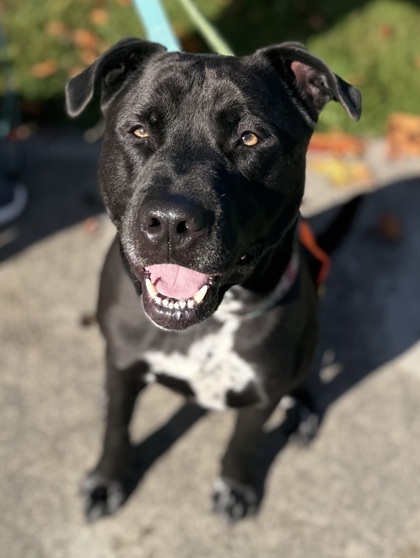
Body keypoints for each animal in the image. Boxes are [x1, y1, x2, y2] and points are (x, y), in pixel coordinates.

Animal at [65, 39, 360, 524]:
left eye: (250, 138)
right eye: (139, 131)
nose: (170, 222)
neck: (208, 324)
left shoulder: (262, 394)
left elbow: (242, 444)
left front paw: (235, 488)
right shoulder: (124, 361)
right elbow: (116, 430)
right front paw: (107, 479)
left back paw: (302, 407)